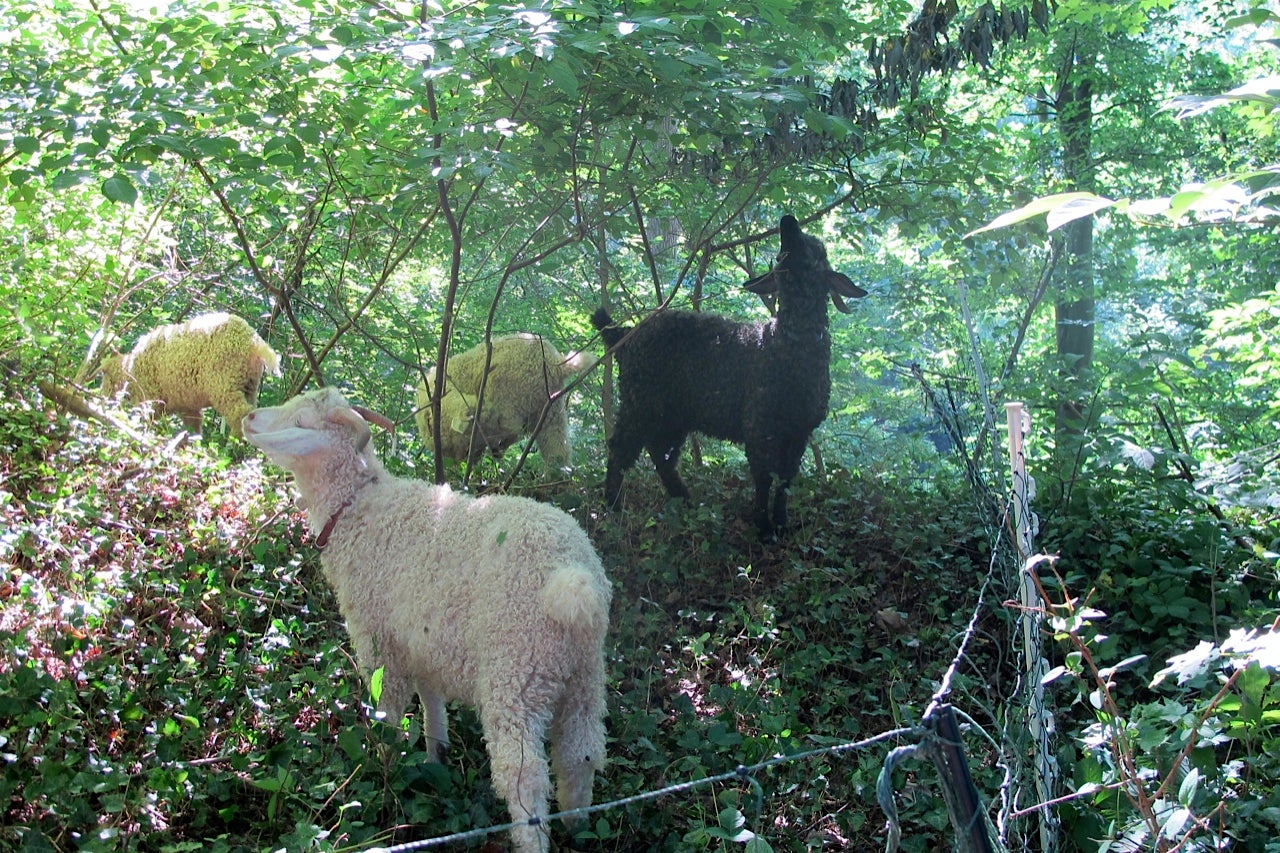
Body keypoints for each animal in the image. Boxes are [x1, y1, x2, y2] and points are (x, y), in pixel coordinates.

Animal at [247, 386, 616, 850]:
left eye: (302, 423)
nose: (247, 418)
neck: (357, 509)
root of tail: (572, 575)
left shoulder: (379, 640)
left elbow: (386, 711)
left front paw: (386, 770)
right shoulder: (423, 642)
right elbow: (431, 700)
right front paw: (435, 754)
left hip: (516, 671)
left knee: (524, 776)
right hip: (583, 674)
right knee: (580, 753)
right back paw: (579, 825)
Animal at [593, 212, 865, 532]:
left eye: (815, 249)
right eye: (781, 254)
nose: (787, 221)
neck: (786, 346)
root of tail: (624, 335)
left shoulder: (798, 431)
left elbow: (786, 480)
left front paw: (781, 523)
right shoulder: (758, 426)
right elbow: (763, 478)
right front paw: (762, 526)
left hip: (672, 414)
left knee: (662, 456)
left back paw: (685, 500)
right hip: (640, 402)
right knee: (621, 448)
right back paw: (613, 506)